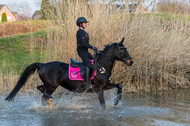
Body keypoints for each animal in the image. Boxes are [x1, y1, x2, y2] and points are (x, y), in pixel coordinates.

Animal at [5, 37, 134, 107]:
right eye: (123, 50)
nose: (131, 61)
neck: (101, 66)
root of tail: (42, 64)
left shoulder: (105, 85)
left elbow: (119, 86)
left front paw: (116, 101)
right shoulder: (99, 89)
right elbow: (103, 105)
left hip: (50, 85)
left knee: (41, 90)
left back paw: (50, 101)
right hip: (52, 85)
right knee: (43, 95)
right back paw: (49, 101)